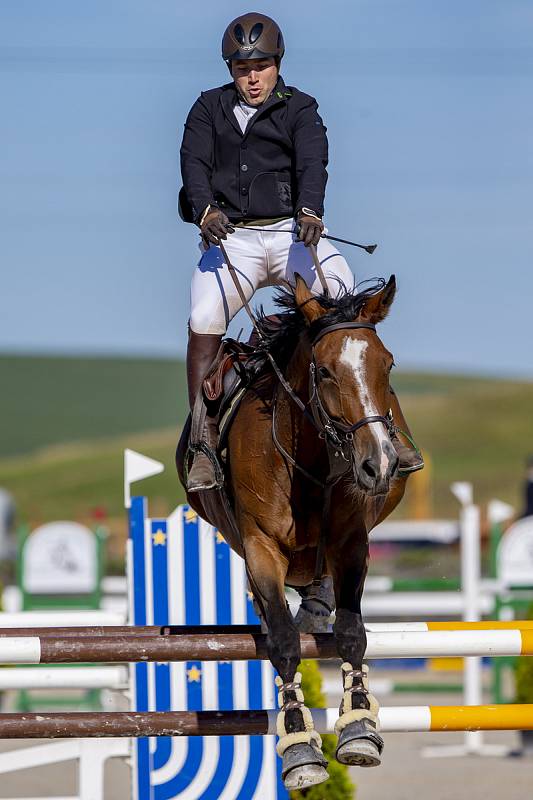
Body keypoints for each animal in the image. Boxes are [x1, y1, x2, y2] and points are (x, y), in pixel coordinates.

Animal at [177, 276, 406, 792]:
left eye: (387, 364)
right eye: (324, 372)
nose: (379, 464)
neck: (312, 461)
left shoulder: (351, 544)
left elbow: (351, 633)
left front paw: (359, 726)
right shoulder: (261, 549)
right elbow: (282, 642)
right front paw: (300, 745)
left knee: (319, 593)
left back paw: (316, 606)